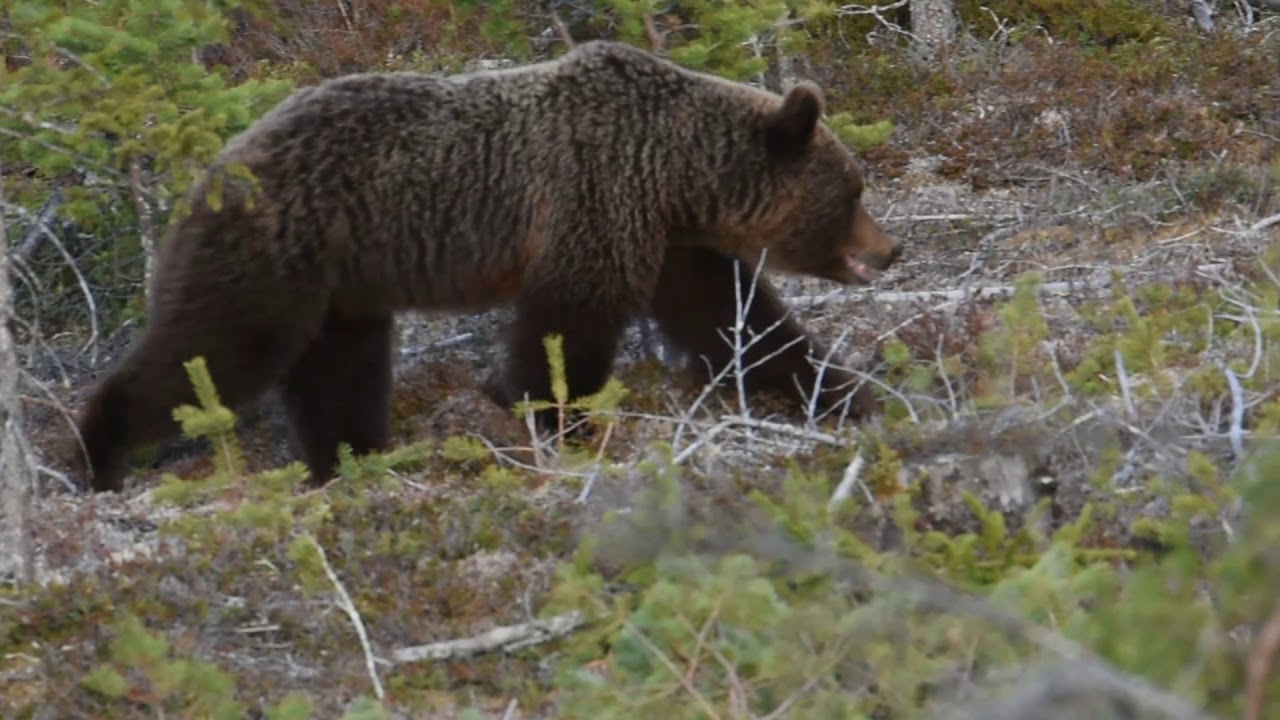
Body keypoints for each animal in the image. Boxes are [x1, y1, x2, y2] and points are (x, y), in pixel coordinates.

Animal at [70, 40, 903, 493]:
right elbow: (566, 327)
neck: (675, 173)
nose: (891, 248)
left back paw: (356, 459)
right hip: (275, 255)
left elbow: (737, 322)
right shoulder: (594, 197)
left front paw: (842, 393)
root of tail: (213, 166)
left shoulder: (670, 241)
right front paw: (554, 415)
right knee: (213, 352)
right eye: (855, 192)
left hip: (343, 285)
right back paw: (101, 453)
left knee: (338, 373)